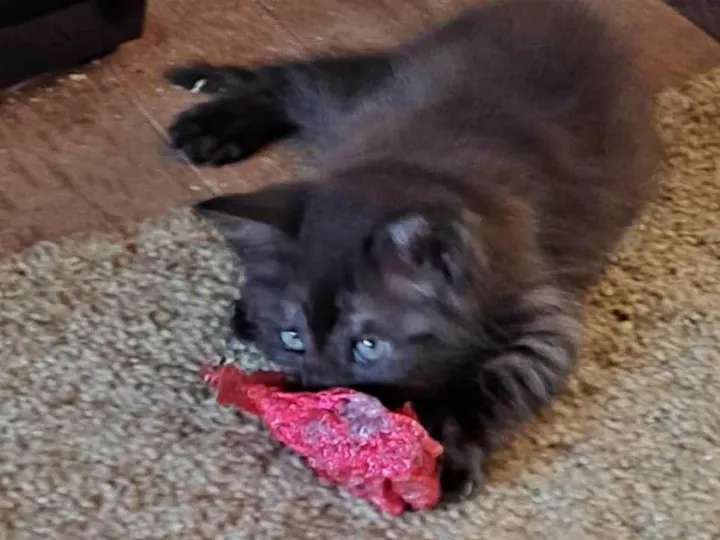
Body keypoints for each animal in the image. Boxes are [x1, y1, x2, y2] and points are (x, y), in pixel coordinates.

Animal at [164, 0, 659, 500]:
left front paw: (450, 451)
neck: (416, 167)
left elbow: (491, 388)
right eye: (292, 338)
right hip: (367, 96)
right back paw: (212, 125)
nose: (326, 389)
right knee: (294, 80)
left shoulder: (542, 312)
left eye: (369, 346)